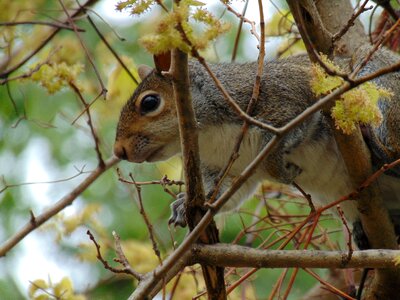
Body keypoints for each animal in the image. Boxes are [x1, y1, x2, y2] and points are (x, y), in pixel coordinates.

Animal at [113, 46, 400, 248]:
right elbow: (223, 195)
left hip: (383, 95)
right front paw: (184, 205)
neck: (210, 136)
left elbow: (278, 152)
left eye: (150, 102)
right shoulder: (230, 168)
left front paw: (284, 172)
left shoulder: (294, 99)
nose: (119, 151)